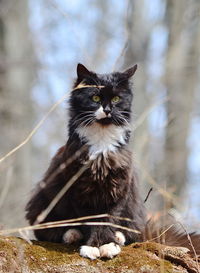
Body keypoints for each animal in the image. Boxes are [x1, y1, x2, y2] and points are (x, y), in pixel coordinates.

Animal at [26, 63, 200, 260]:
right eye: (95, 97)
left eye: (116, 98)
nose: (108, 110)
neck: (102, 143)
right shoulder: (78, 191)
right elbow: (90, 222)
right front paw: (92, 247)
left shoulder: (118, 189)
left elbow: (108, 220)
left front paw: (107, 244)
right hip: (42, 201)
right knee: (47, 230)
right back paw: (72, 234)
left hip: (135, 211)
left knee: (134, 234)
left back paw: (118, 236)